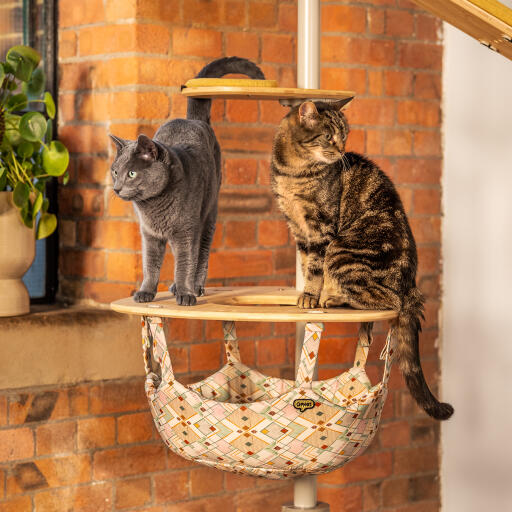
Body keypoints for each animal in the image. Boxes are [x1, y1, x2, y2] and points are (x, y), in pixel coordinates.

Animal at [110, 57, 266, 304]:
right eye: (115, 172)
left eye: (132, 173)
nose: (116, 188)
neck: (153, 206)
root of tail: (192, 120)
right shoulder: (149, 235)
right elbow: (150, 266)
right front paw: (145, 292)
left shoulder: (186, 231)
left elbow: (185, 264)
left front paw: (185, 293)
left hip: (208, 215)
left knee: (200, 255)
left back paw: (195, 287)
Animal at [270, 101, 454, 420]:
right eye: (328, 136)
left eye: (344, 136)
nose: (341, 151)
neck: (294, 171)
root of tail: (412, 286)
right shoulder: (298, 229)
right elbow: (307, 265)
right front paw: (308, 295)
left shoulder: (321, 228)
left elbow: (315, 269)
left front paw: (311, 297)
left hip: (342, 251)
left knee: (389, 302)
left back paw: (334, 299)